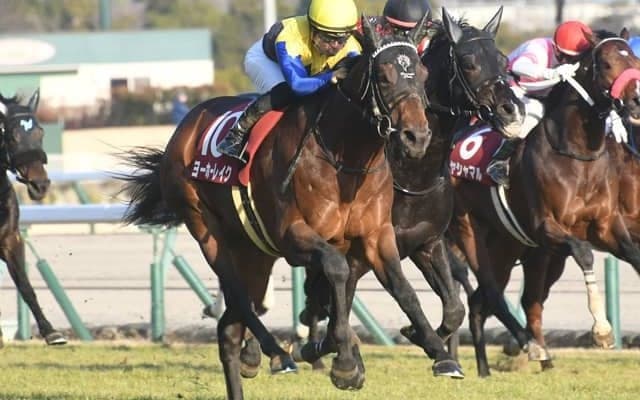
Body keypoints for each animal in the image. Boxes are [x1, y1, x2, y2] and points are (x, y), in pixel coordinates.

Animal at [0, 91, 66, 346]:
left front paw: (51, 332)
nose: (40, 185)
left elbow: (25, 286)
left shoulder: (10, 239)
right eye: (12, 136)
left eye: (40, 132)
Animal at [120, 18, 432, 399]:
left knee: (230, 327)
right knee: (239, 300)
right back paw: (275, 353)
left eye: (423, 74)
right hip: (206, 228)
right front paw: (345, 362)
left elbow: (399, 287)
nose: (416, 137)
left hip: (254, 251)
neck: (346, 158)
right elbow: (337, 270)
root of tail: (185, 127)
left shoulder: (375, 235)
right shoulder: (292, 236)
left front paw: (437, 350)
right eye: (384, 77)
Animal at [287, 6, 524, 378]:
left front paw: (424, 339)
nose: (510, 110)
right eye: (468, 61)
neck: (413, 175)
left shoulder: (427, 241)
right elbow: (346, 297)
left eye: (502, 60)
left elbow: (453, 307)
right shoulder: (366, 250)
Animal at [447, 28, 640, 377]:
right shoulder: (546, 227)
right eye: (606, 64)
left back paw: (488, 367)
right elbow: (584, 253)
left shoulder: (606, 226)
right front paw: (602, 330)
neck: (577, 154)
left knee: (488, 301)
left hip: (508, 244)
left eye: (633, 60)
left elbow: (634, 255)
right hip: (470, 231)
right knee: (490, 293)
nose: (636, 99)